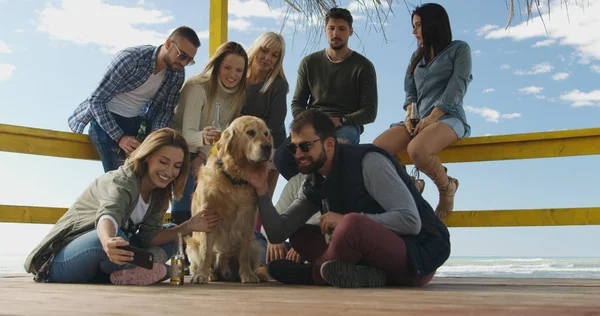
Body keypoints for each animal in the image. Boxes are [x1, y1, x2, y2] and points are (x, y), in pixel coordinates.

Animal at [186, 115, 274, 284]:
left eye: (266, 133)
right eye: (250, 132)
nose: (268, 147)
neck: (234, 179)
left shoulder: (248, 220)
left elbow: (244, 254)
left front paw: (248, 275)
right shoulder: (208, 216)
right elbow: (206, 252)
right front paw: (201, 274)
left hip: (255, 245)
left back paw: (257, 274)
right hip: (191, 244)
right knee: (198, 262)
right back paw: (208, 273)